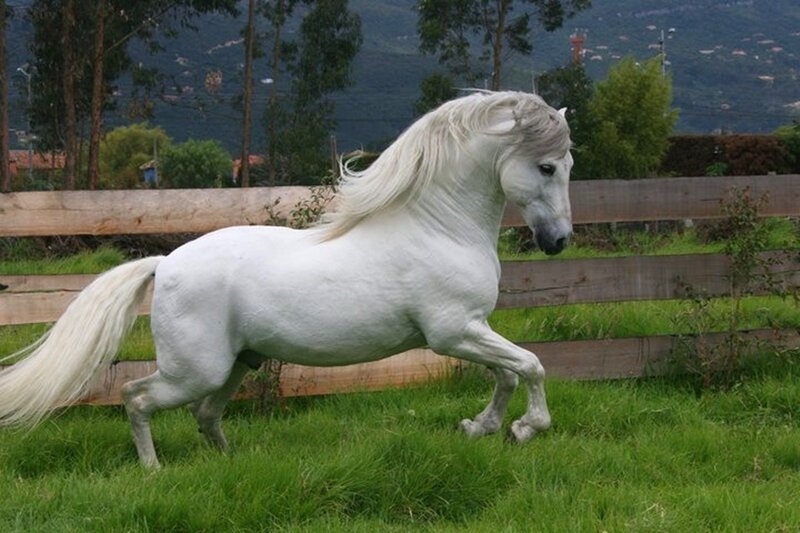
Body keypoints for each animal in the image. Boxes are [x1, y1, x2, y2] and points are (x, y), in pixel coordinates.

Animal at [0, 91, 573, 469]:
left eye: (567, 163)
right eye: (546, 167)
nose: (559, 241)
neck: (438, 227)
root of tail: (164, 262)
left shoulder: (471, 330)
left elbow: (507, 374)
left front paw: (482, 427)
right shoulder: (453, 332)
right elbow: (532, 365)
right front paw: (526, 428)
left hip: (235, 364)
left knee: (206, 414)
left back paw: (230, 464)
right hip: (196, 369)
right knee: (137, 397)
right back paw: (153, 470)